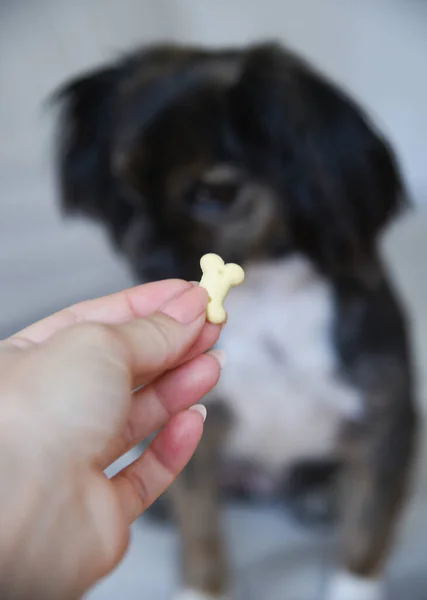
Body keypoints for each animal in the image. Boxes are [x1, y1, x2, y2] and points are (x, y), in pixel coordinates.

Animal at [52, 43, 418, 600]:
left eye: (216, 194)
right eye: (125, 186)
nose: (146, 258)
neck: (267, 300)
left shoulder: (388, 431)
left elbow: (365, 541)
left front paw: (352, 587)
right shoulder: (197, 431)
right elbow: (203, 531)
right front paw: (200, 589)